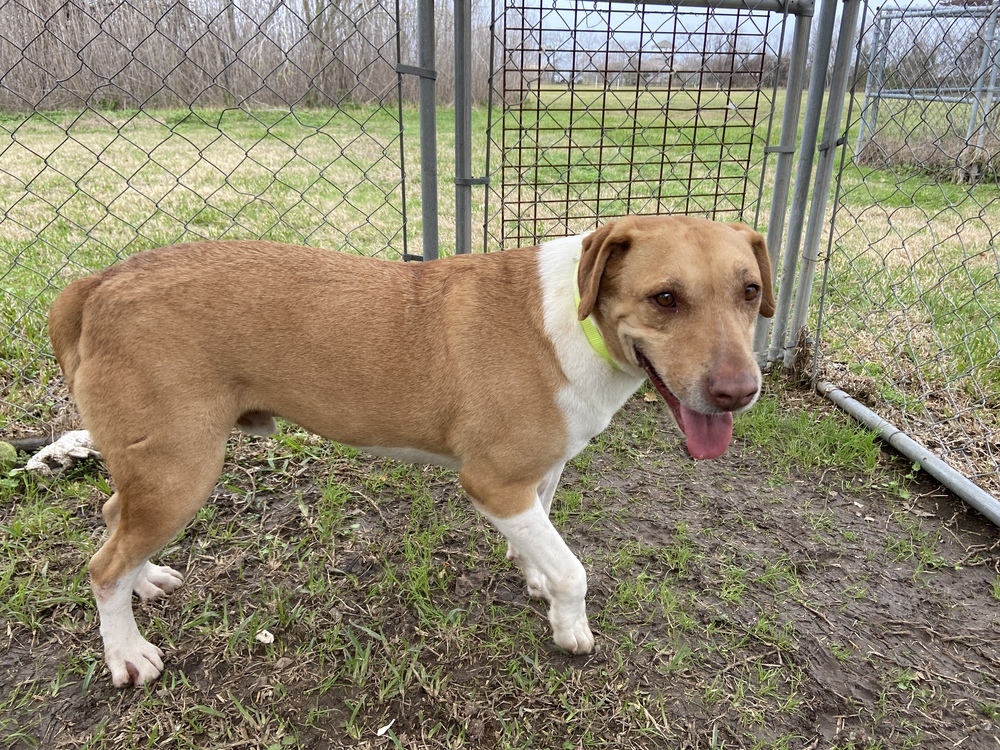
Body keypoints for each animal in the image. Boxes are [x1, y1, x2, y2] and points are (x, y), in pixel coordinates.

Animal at [48, 216, 772, 688]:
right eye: (665, 298)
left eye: (750, 291)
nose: (739, 393)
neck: (577, 320)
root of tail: (98, 283)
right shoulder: (493, 483)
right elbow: (573, 571)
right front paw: (570, 628)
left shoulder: (536, 479)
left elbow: (544, 544)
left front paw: (534, 578)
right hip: (183, 472)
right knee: (102, 566)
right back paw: (127, 654)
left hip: (157, 471)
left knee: (115, 520)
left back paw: (146, 579)